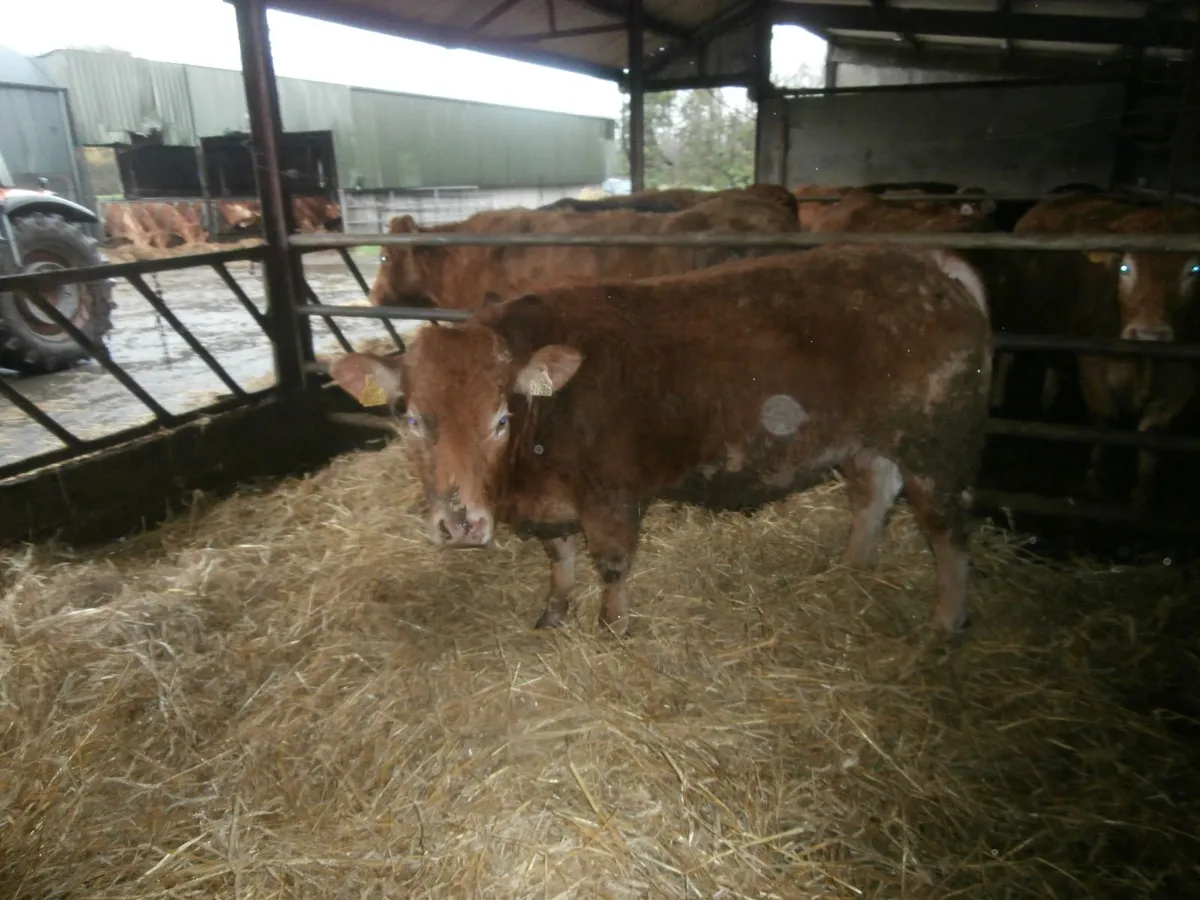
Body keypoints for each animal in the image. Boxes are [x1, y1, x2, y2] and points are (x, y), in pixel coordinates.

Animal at [329, 243, 993, 638]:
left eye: (500, 418)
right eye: (411, 418)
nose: (461, 523)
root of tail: (928, 261)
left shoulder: (610, 497)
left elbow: (612, 565)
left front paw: (612, 627)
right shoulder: (552, 507)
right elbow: (560, 560)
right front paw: (554, 611)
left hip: (938, 441)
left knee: (947, 530)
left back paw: (945, 620)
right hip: (869, 440)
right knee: (873, 495)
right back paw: (851, 569)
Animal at [992, 193, 1200, 506]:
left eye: (1194, 270)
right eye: (1125, 268)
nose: (1150, 334)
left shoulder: (1182, 378)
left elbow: (1152, 435)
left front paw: (1142, 494)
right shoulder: (1092, 364)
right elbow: (1104, 421)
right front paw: (1094, 480)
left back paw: (1047, 406)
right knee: (1007, 358)